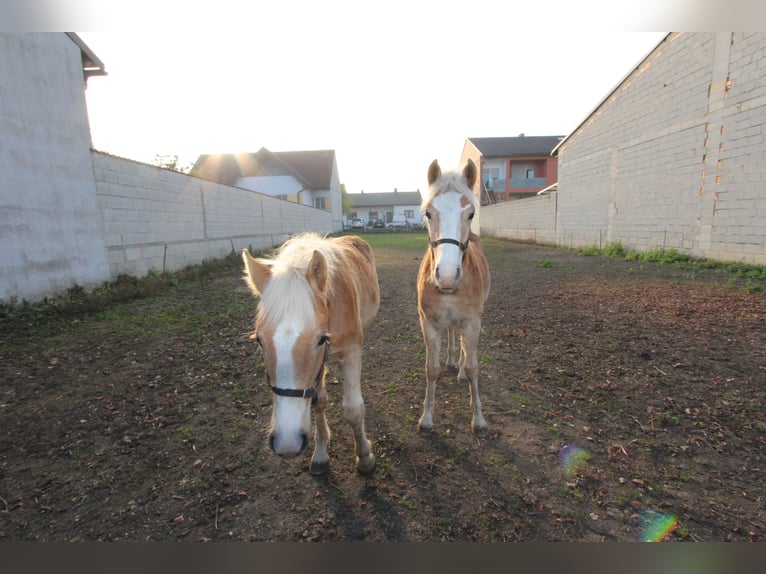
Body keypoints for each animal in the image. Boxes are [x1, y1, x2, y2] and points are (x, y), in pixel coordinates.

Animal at [243, 232, 380, 474]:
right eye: (259, 340)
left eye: (321, 339)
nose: (287, 444)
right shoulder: (318, 367)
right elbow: (319, 401)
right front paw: (321, 454)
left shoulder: (352, 351)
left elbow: (353, 409)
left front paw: (364, 457)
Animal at [416, 160, 496, 438]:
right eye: (428, 213)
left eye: (470, 214)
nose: (448, 276)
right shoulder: (428, 323)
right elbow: (431, 369)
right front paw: (426, 418)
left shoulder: (473, 324)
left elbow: (473, 368)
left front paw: (479, 420)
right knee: (452, 334)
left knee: (462, 345)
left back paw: (459, 369)